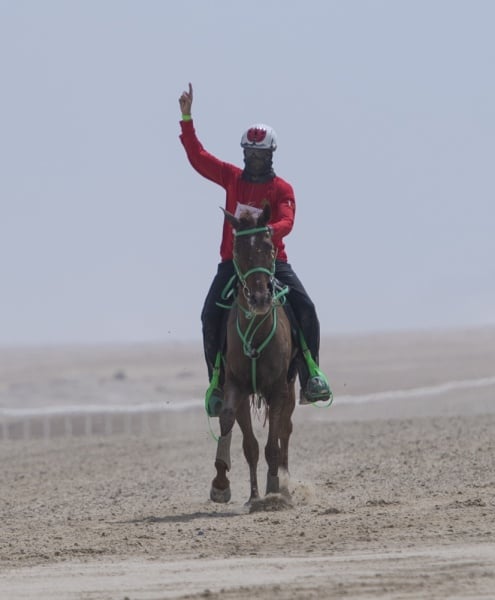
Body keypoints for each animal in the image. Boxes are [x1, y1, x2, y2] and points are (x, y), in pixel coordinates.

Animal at [210, 203, 298, 506]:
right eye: (237, 251)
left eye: (269, 248)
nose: (259, 299)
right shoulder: (237, 386)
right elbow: (244, 438)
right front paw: (226, 486)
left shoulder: (278, 389)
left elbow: (273, 444)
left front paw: (273, 490)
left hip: (291, 388)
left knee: (285, 430)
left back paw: (284, 482)